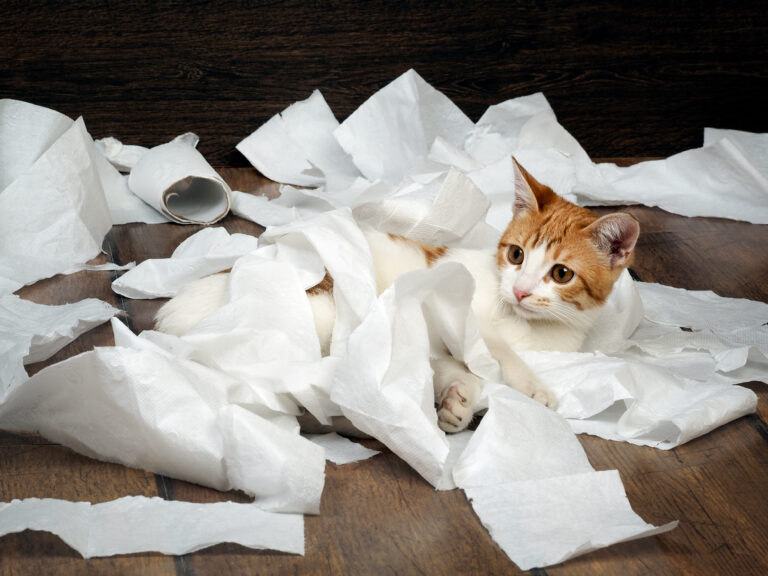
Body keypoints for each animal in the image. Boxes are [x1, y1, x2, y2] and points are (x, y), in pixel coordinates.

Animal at [153, 158, 640, 432]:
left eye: (561, 273)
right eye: (516, 254)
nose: (519, 291)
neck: (533, 329)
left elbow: (449, 365)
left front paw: (458, 404)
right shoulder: (450, 304)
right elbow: (497, 350)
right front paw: (533, 386)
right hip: (320, 309)